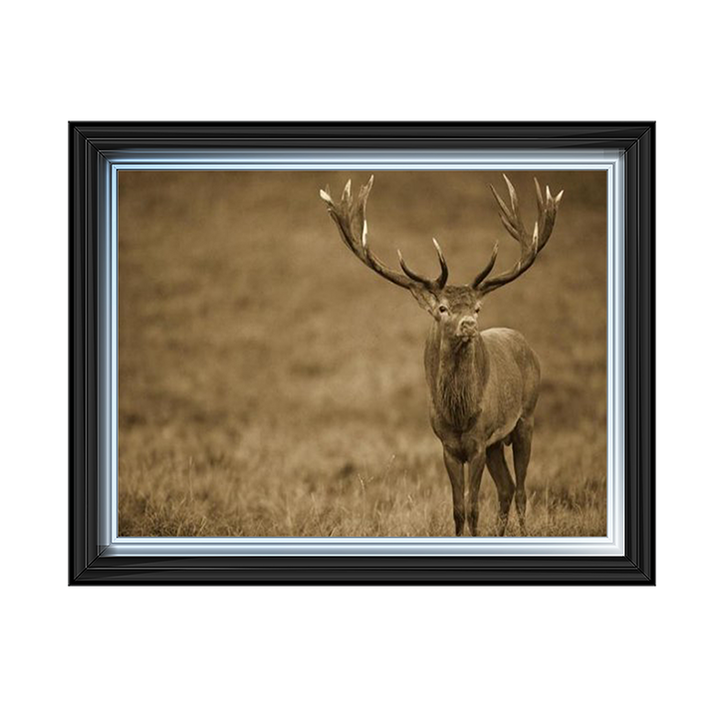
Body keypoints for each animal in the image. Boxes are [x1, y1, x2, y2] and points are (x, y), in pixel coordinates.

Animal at [320, 174, 563, 537]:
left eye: (477, 307)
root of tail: (525, 344)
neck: (459, 415)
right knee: (506, 488)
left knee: (520, 490)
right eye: (443, 308)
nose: (469, 325)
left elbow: (474, 507)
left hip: (526, 418)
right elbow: (458, 508)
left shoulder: (477, 442)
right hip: (497, 443)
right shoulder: (448, 446)